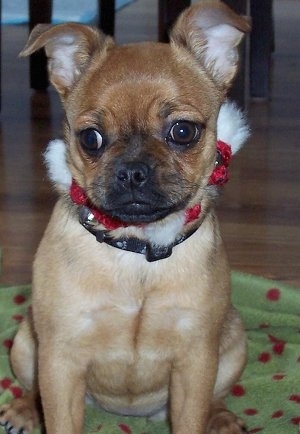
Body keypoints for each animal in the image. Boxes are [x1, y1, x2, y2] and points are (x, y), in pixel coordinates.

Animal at [0, 1, 251, 432]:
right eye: (90, 138)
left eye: (183, 131)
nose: (133, 171)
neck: (137, 246)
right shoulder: (60, 361)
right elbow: (60, 418)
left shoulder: (196, 362)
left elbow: (192, 417)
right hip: (27, 345)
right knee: (34, 388)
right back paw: (24, 410)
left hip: (232, 342)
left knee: (215, 398)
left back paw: (221, 418)